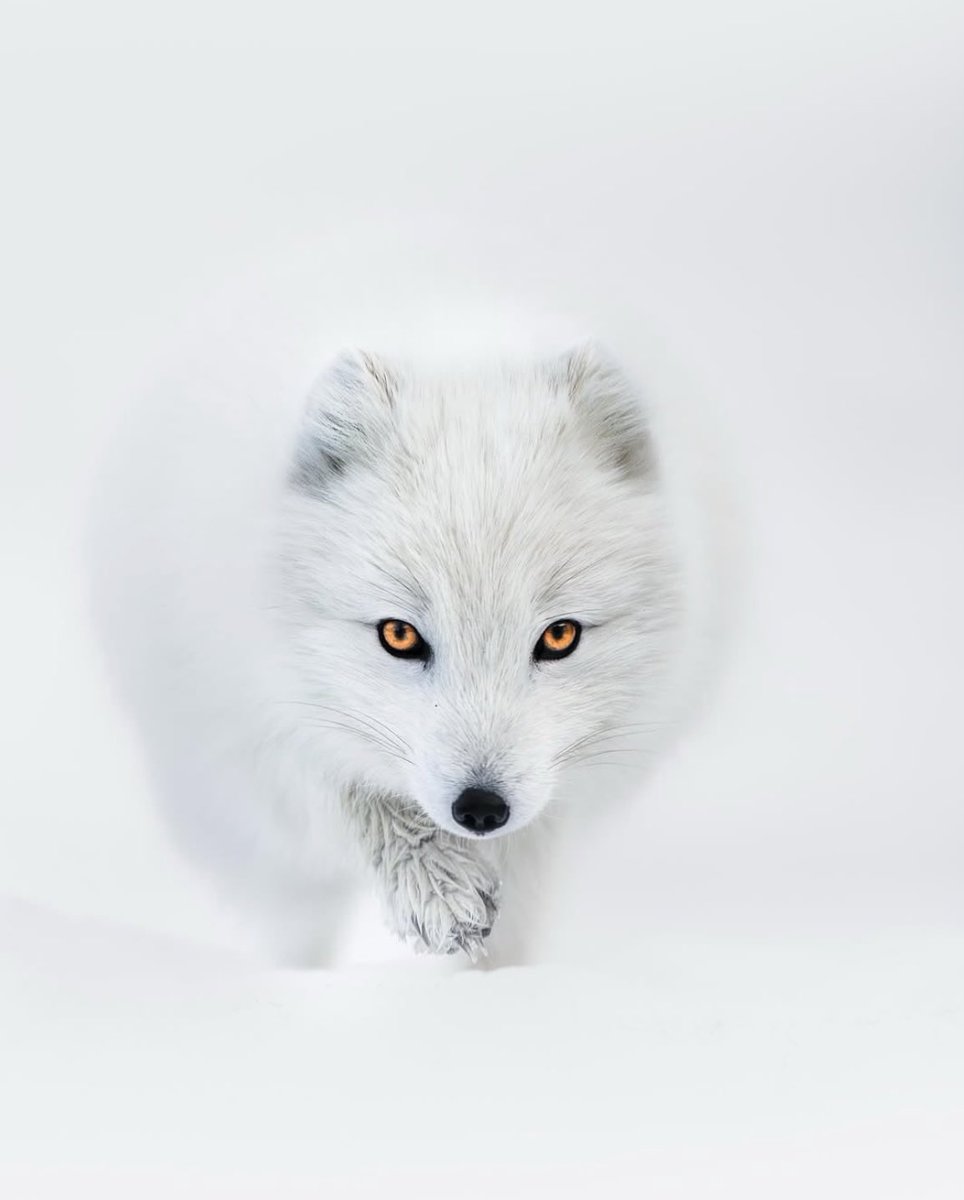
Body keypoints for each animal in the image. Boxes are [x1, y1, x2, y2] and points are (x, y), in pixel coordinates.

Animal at [90, 272, 722, 968]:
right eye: (399, 635)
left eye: (560, 636)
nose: (481, 809)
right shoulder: (260, 729)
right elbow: (361, 800)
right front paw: (438, 887)